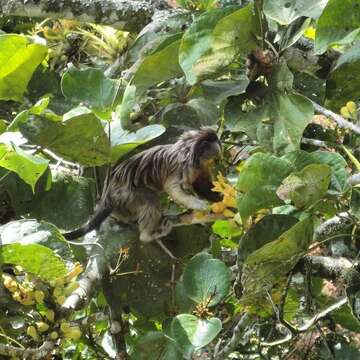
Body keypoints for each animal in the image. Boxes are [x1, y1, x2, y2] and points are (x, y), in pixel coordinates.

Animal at [64, 128, 222, 243]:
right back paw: (147, 235)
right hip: (124, 194)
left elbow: (203, 187)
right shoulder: (182, 166)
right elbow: (174, 188)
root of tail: (108, 193)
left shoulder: (200, 168)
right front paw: (199, 205)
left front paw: (221, 199)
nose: (219, 155)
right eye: (215, 148)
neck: (193, 156)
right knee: (150, 198)